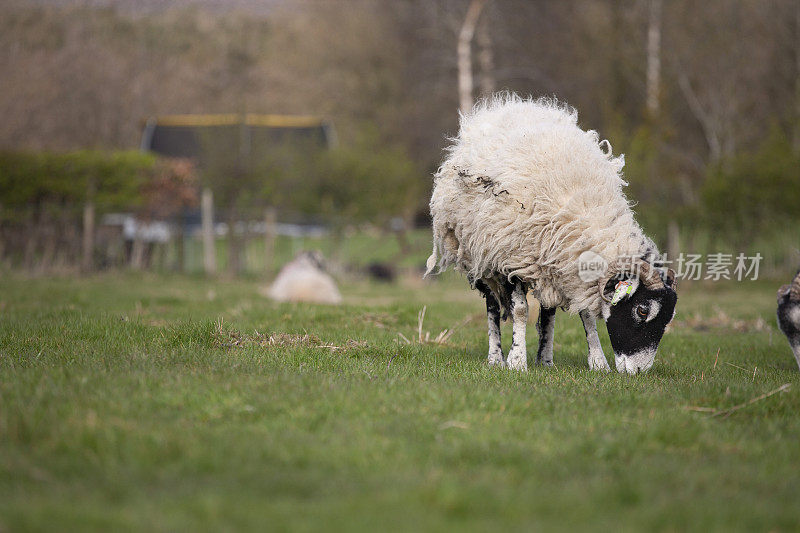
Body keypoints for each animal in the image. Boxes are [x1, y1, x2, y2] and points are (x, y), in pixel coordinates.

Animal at [424, 93, 676, 372]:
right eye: (642, 311)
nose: (639, 371)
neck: (584, 208)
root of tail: (513, 104)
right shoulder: (513, 259)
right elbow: (520, 310)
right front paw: (516, 361)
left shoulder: (569, 267)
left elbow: (586, 314)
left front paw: (598, 362)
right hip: (483, 255)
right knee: (492, 305)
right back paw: (495, 357)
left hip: (546, 268)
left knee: (548, 310)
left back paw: (545, 359)